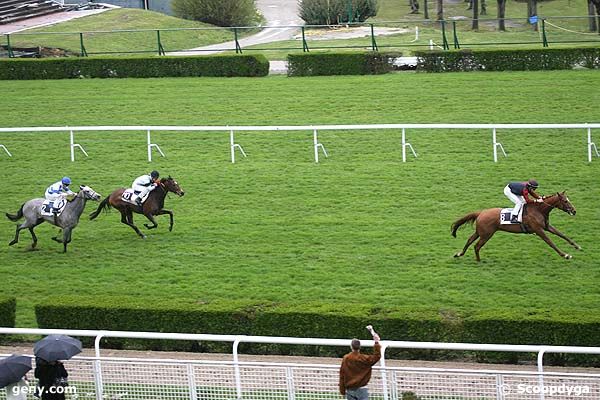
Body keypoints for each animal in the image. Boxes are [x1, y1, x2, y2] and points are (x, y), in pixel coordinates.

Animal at [452, 192, 580, 260]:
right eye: (565, 201)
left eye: (568, 199)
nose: (574, 211)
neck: (539, 210)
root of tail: (480, 213)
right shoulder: (538, 230)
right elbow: (550, 242)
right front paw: (565, 255)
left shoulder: (546, 227)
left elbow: (562, 235)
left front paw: (577, 246)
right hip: (486, 234)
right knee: (477, 246)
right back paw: (478, 261)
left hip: (480, 232)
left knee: (470, 240)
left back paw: (459, 254)